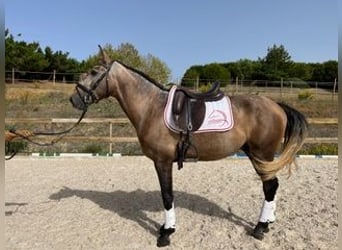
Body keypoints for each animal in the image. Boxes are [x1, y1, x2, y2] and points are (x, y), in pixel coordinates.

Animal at [69, 46, 308, 247]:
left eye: (93, 71)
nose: (74, 99)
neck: (151, 107)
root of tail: (277, 105)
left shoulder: (162, 161)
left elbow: (167, 196)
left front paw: (166, 233)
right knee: (272, 186)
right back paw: (268, 222)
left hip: (262, 154)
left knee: (270, 187)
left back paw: (259, 228)